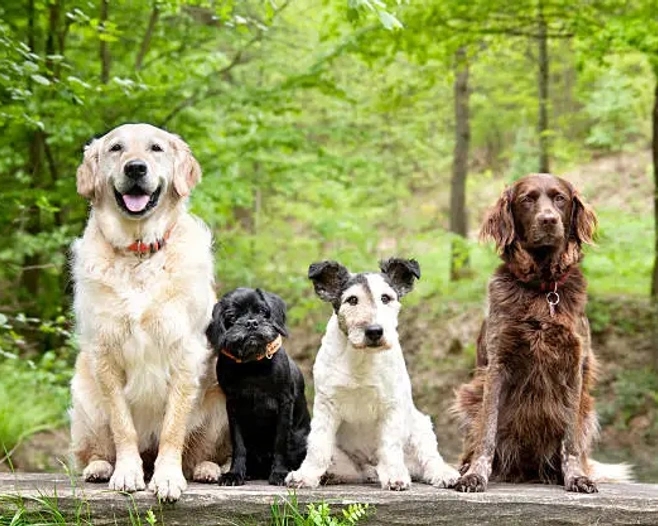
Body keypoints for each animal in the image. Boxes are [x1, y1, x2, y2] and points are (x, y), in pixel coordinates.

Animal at [205, 288, 310, 486]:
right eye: (232, 316)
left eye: (262, 311)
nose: (251, 322)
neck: (251, 364)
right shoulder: (233, 407)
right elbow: (239, 445)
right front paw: (235, 473)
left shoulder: (284, 404)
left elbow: (280, 443)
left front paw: (279, 473)